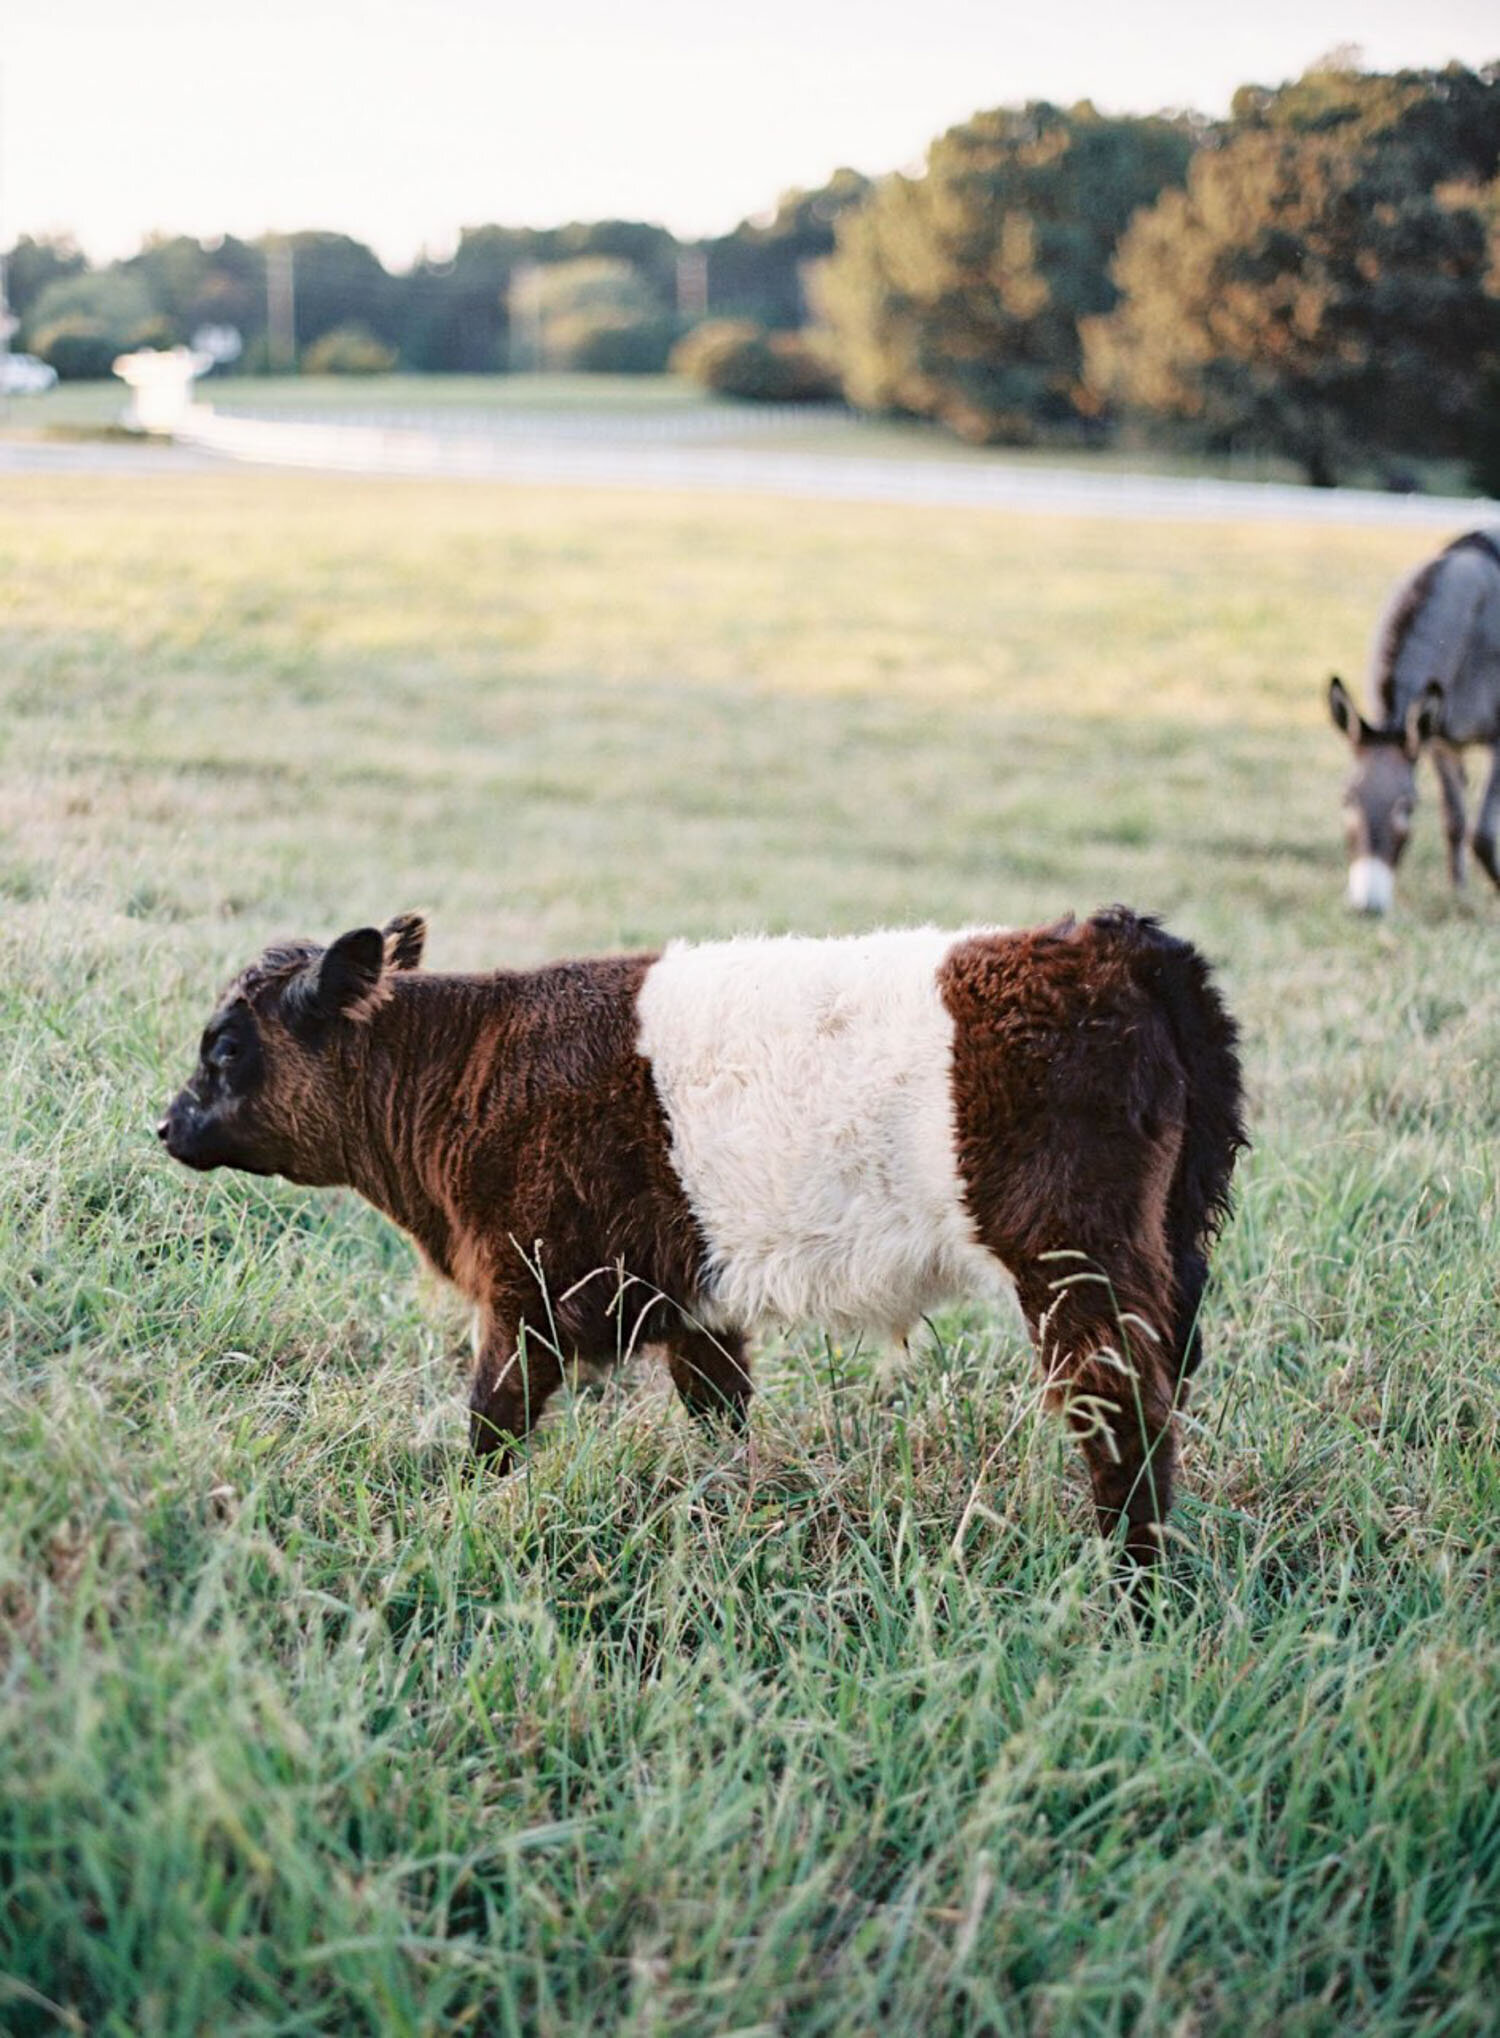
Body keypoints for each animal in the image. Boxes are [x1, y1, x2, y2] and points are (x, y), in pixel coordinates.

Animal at [157, 913, 1247, 1573]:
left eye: (226, 1047)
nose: (165, 1125)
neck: (462, 1069)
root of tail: (1112, 942)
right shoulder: (691, 1299)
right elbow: (719, 1416)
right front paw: (735, 1515)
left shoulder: (525, 1293)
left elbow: (489, 1426)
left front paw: (453, 1523)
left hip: (1078, 1263)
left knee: (1125, 1417)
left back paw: (1131, 1589)